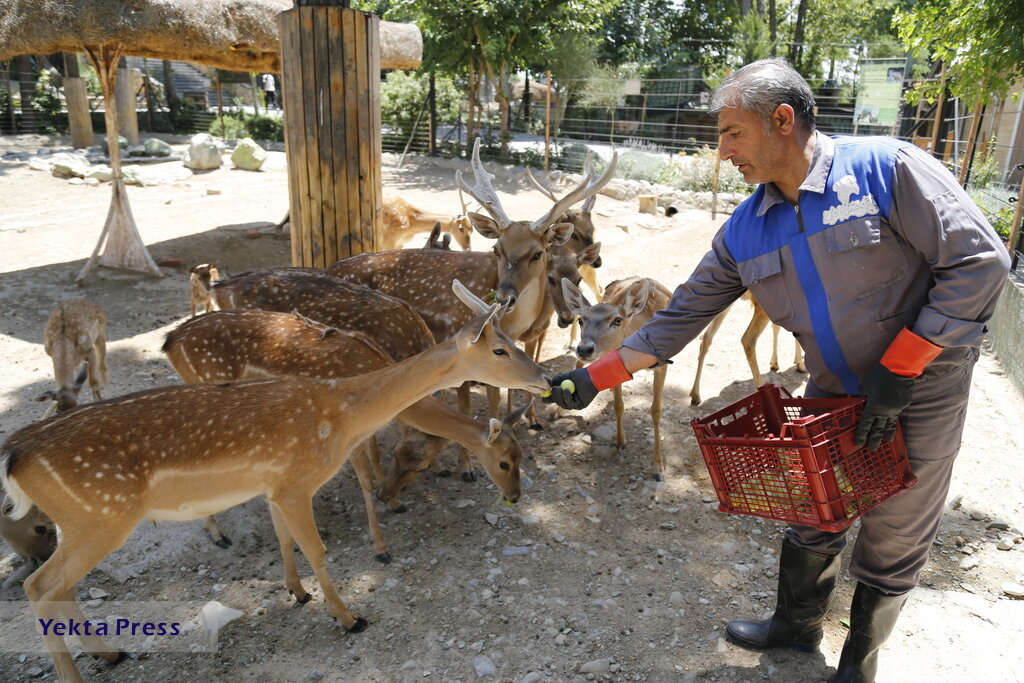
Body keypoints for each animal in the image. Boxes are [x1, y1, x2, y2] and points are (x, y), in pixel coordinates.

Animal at [161, 309, 528, 561]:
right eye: (505, 463)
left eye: (521, 456)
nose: (514, 496)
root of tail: (170, 341)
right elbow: (363, 477)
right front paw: (381, 545)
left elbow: (374, 453)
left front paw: (393, 501)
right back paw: (219, 534)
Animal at [561, 276, 671, 481]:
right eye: (581, 320)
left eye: (617, 320)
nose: (584, 349)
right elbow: (619, 405)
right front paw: (621, 441)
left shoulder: (662, 365)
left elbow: (656, 410)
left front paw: (658, 468)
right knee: (579, 364)